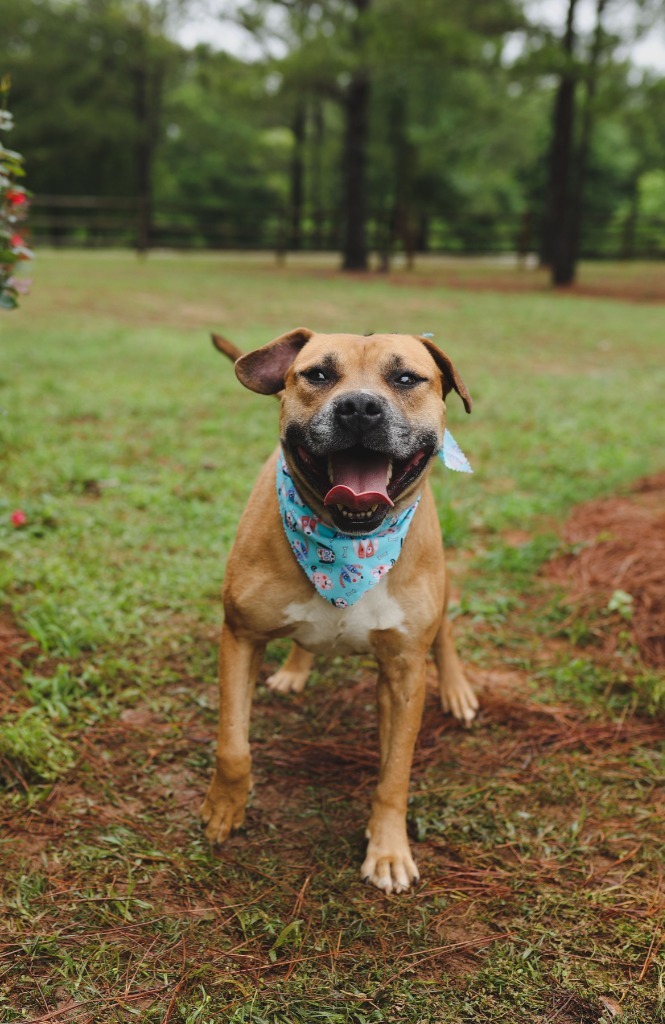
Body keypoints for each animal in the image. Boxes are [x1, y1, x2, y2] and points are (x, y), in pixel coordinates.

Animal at [201, 325, 477, 888]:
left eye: (405, 378)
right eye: (319, 374)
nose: (359, 407)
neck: (346, 547)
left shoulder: (403, 673)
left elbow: (394, 774)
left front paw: (388, 849)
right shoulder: (240, 636)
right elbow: (233, 746)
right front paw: (224, 809)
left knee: (445, 635)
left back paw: (458, 690)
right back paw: (296, 668)